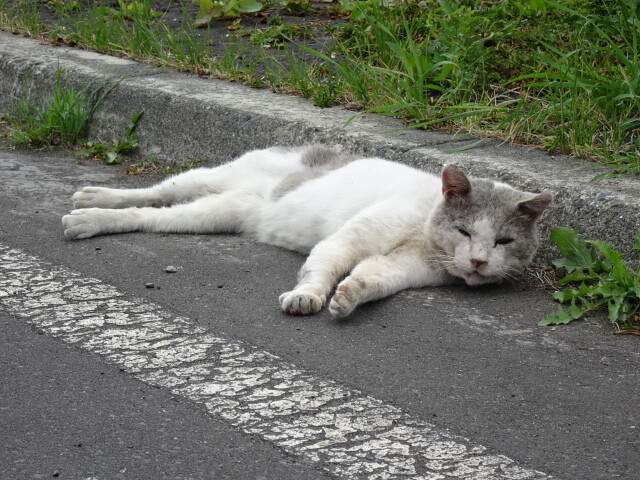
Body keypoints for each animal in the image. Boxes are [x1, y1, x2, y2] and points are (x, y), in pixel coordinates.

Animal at [66, 145, 556, 318]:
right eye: (464, 230)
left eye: (504, 242)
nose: (478, 261)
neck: (423, 232)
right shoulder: (351, 238)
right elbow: (325, 264)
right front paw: (308, 296)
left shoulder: (402, 267)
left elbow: (370, 278)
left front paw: (348, 297)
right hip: (205, 180)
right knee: (152, 194)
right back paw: (88, 207)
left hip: (212, 212)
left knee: (154, 215)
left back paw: (91, 211)